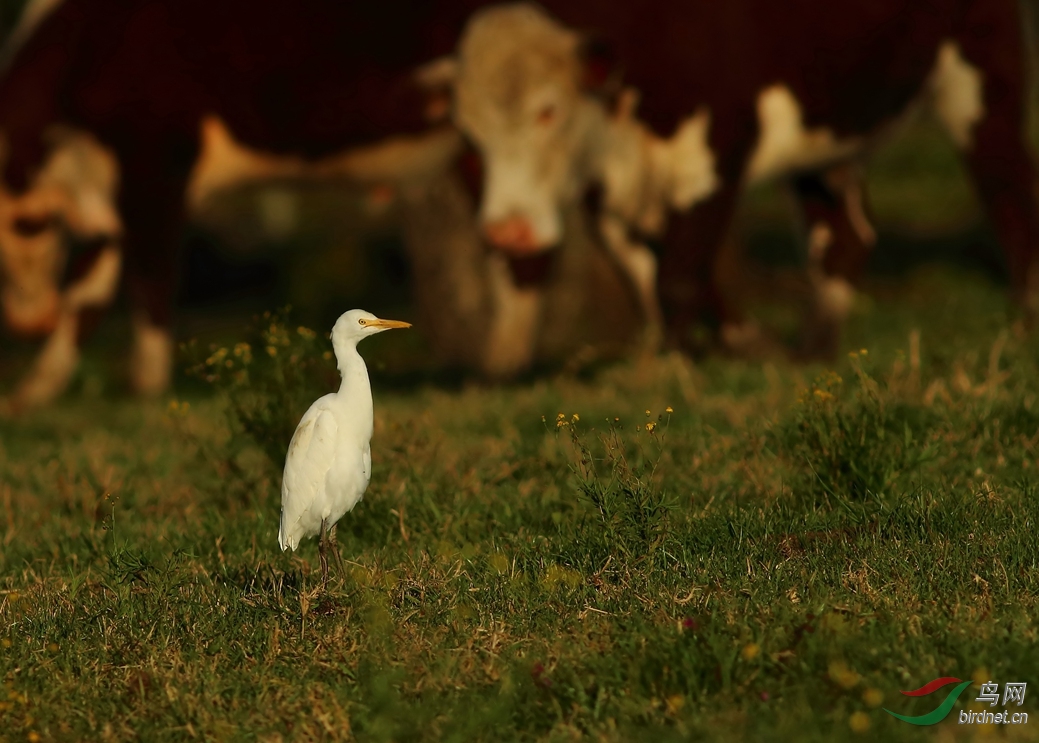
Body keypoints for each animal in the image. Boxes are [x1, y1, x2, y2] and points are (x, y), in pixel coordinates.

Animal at [439, 0, 1039, 355]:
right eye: (468, 131)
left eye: (547, 110)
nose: (506, 232)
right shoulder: (606, 198)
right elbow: (644, 274)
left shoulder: (720, 146)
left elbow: (679, 275)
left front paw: (674, 369)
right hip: (823, 137)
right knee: (843, 236)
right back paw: (814, 349)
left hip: (980, 76)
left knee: (1007, 188)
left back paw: (1024, 312)